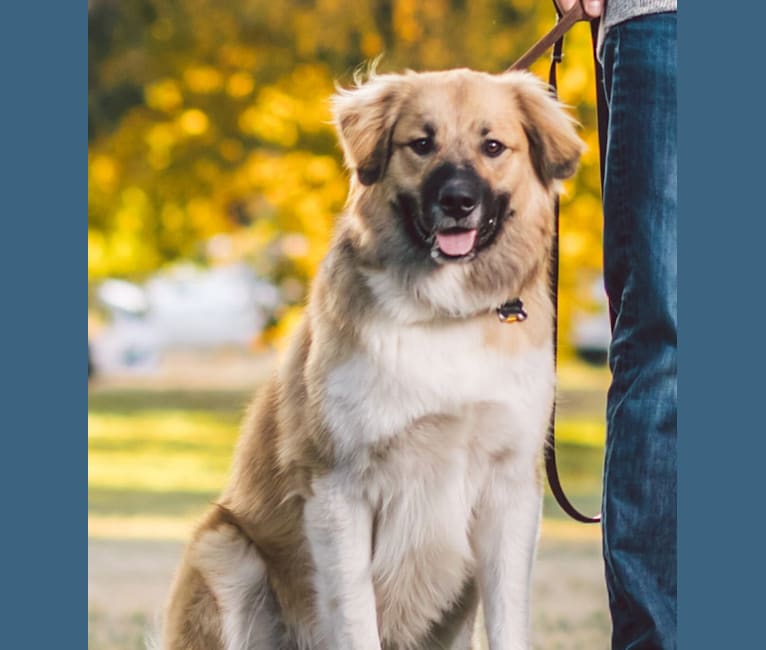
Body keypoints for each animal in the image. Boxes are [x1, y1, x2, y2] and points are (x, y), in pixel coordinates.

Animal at [162, 68, 584, 644]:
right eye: (421, 144)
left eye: (493, 146)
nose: (457, 201)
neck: (442, 316)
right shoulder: (338, 488)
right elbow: (354, 614)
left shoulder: (510, 487)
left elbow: (508, 622)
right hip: (225, 547)